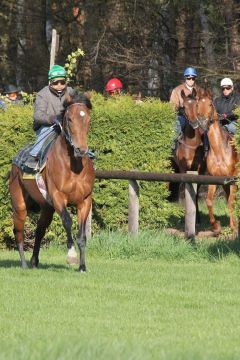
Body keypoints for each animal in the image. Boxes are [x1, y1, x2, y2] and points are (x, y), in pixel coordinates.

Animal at [9, 91, 95, 272]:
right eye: (69, 119)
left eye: (88, 118)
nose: (81, 150)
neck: (74, 166)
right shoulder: (58, 196)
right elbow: (67, 221)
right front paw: (71, 256)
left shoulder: (85, 200)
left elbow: (82, 235)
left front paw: (82, 266)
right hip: (19, 203)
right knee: (18, 230)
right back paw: (24, 264)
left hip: (47, 207)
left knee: (40, 229)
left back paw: (34, 260)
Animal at [190, 87, 239, 233]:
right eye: (197, 105)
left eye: (210, 104)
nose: (202, 123)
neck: (220, 150)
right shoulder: (214, 179)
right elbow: (209, 201)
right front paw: (216, 226)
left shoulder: (233, 180)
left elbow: (231, 203)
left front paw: (234, 228)